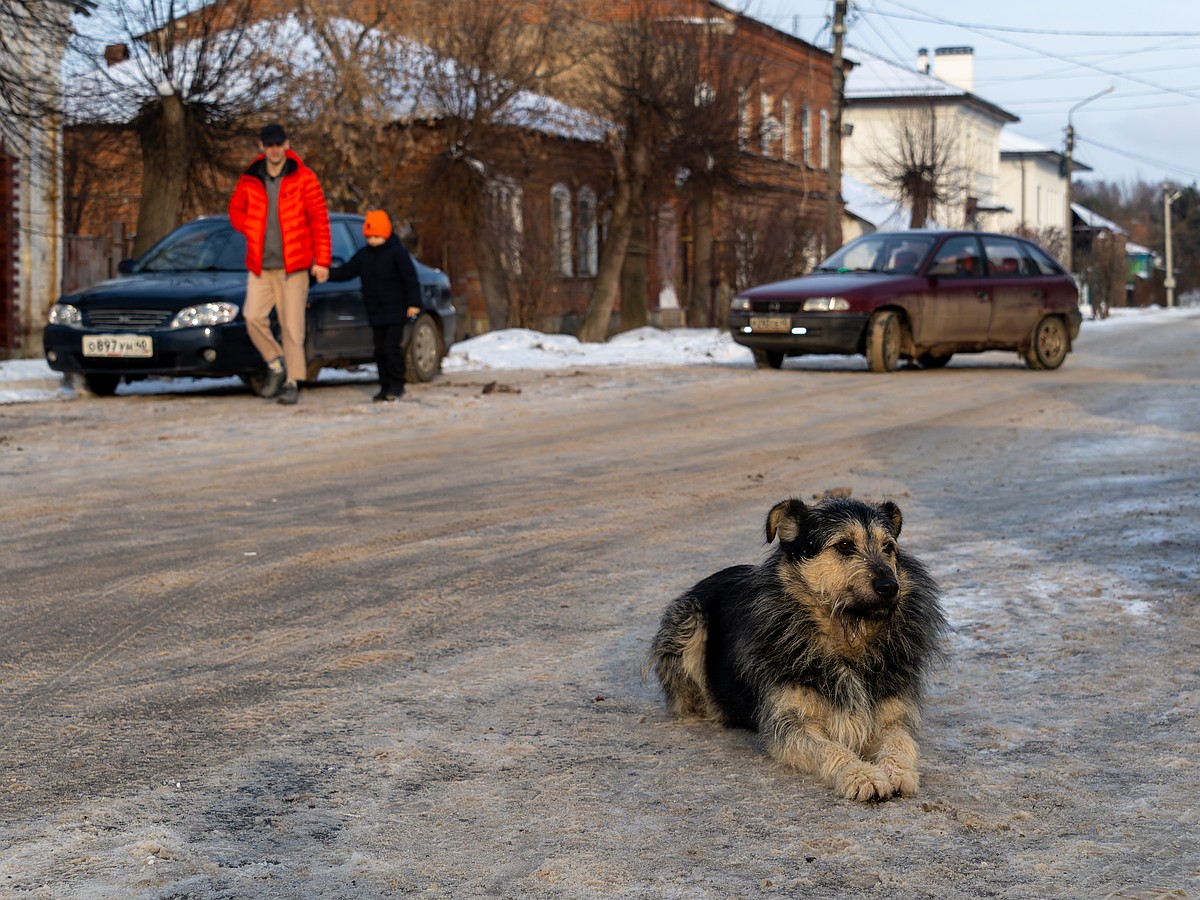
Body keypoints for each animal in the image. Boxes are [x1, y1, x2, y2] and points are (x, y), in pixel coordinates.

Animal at [648, 494, 945, 801]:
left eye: (889, 548)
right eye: (844, 545)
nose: (890, 587)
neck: (847, 640)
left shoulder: (894, 714)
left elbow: (899, 741)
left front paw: (898, 771)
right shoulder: (789, 722)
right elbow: (830, 748)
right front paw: (861, 774)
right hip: (688, 622)